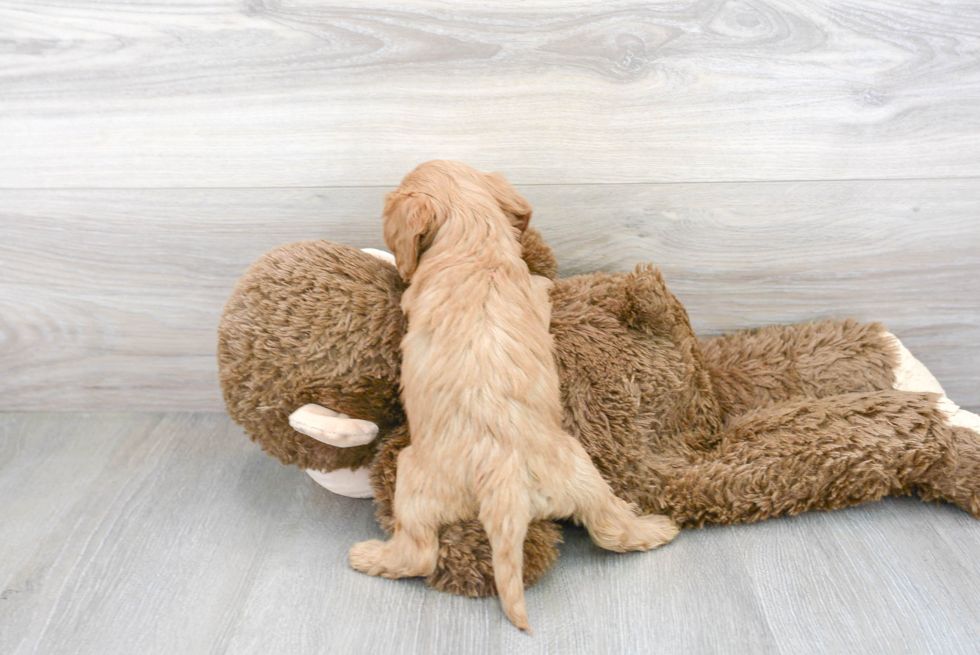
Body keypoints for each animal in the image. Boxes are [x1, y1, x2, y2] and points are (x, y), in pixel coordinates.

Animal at [348, 161, 676, 632]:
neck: (475, 242)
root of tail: (503, 481)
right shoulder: (532, 293)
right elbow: (541, 285)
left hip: (413, 478)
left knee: (419, 554)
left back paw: (370, 556)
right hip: (581, 472)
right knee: (611, 529)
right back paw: (655, 529)